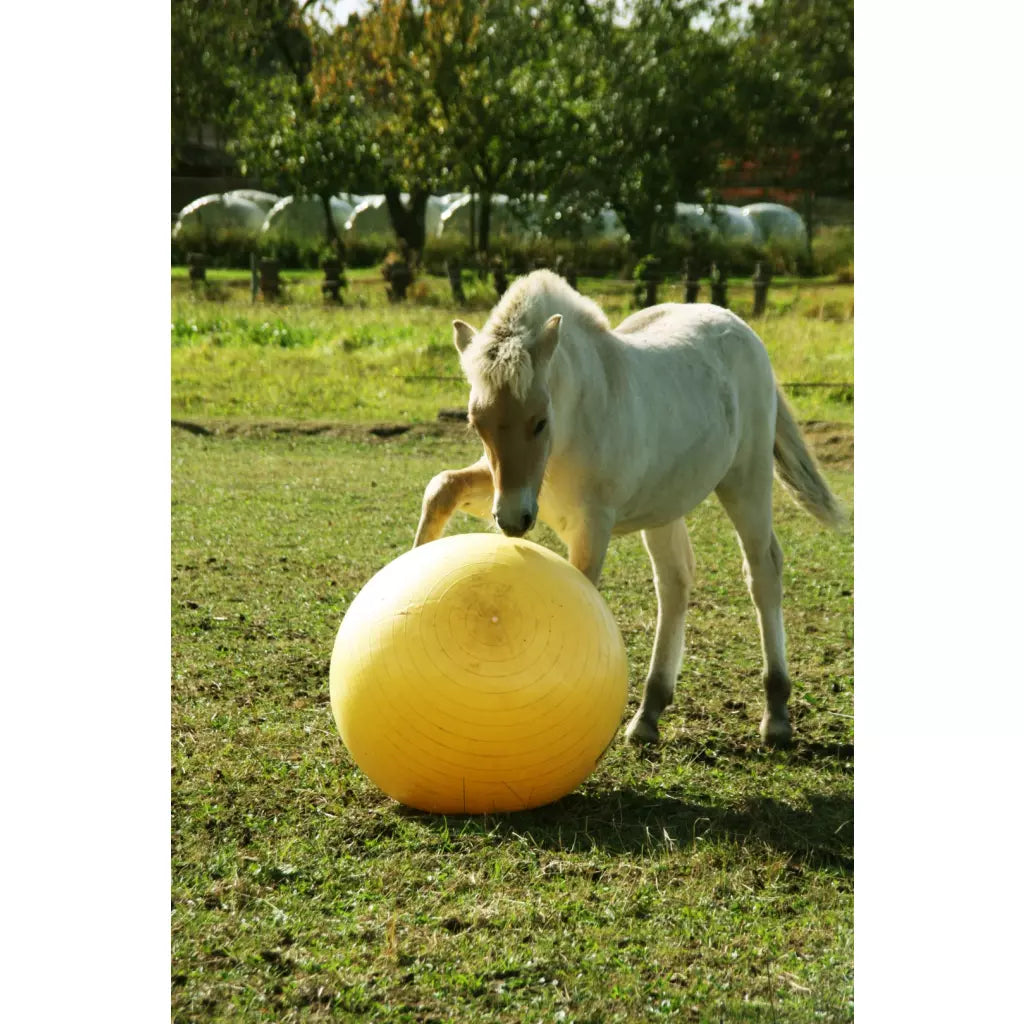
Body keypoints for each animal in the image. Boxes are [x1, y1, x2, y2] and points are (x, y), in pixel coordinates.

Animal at [413, 270, 846, 747]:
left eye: (540, 420)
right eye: (477, 423)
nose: (513, 519)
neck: (575, 421)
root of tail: (739, 326)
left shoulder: (590, 526)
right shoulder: (509, 490)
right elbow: (442, 486)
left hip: (745, 481)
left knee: (762, 570)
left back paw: (776, 714)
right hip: (664, 505)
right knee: (675, 580)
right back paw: (649, 713)